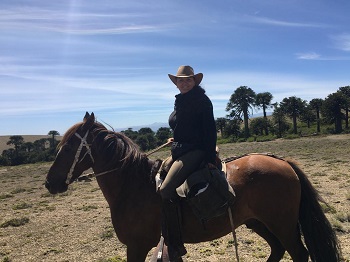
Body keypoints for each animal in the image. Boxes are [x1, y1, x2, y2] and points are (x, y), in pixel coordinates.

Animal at [45, 113, 340, 262]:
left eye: (68, 147)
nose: (50, 183)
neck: (133, 187)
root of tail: (283, 162)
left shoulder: (137, 246)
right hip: (257, 222)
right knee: (278, 250)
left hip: (283, 224)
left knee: (298, 254)